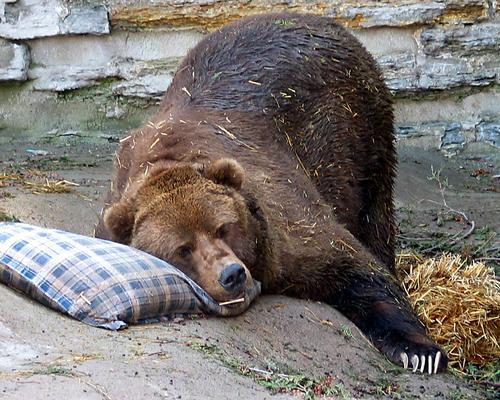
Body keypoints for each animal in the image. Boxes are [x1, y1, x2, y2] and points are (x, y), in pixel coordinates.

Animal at [95, 13, 448, 376]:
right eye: (182, 248)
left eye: (223, 227)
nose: (231, 274)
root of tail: (316, 20)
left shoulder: (283, 221)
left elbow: (354, 263)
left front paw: (419, 350)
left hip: (361, 125)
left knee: (375, 213)